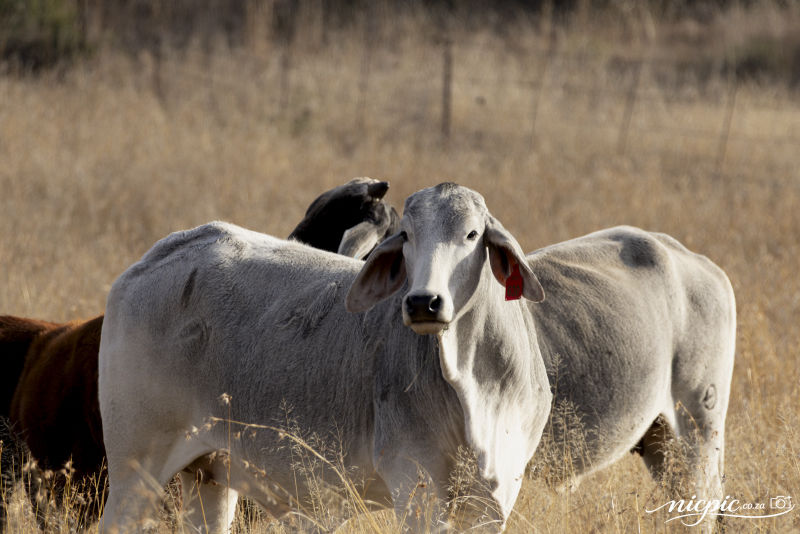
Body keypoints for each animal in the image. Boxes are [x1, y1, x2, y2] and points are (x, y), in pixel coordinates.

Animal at [97, 183, 554, 532]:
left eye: (472, 234)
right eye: (407, 236)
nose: (423, 302)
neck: (475, 387)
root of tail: (161, 253)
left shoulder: (496, 497)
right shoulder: (416, 487)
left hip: (209, 476)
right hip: (134, 471)